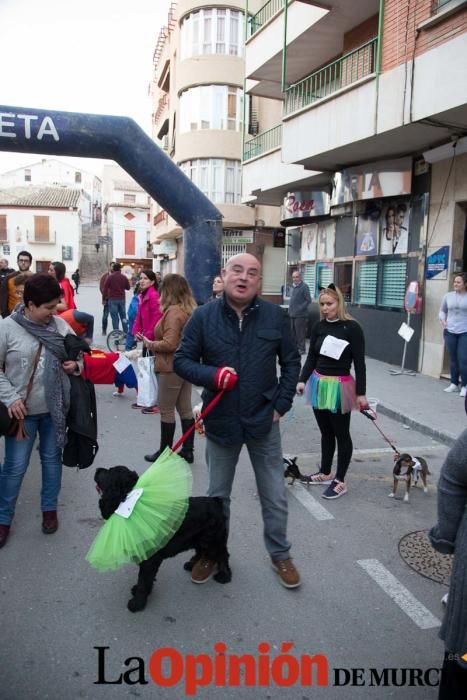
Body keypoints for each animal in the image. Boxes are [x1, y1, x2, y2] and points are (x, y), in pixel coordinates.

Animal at [94, 464, 232, 612]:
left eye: (108, 472)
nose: (97, 469)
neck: (134, 505)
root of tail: (216, 501)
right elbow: (144, 579)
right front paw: (139, 591)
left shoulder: (150, 560)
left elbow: (143, 580)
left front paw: (137, 603)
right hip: (201, 539)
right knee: (202, 551)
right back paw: (191, 565)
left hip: (213, 539)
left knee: (223, 555)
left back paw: (224, 576)